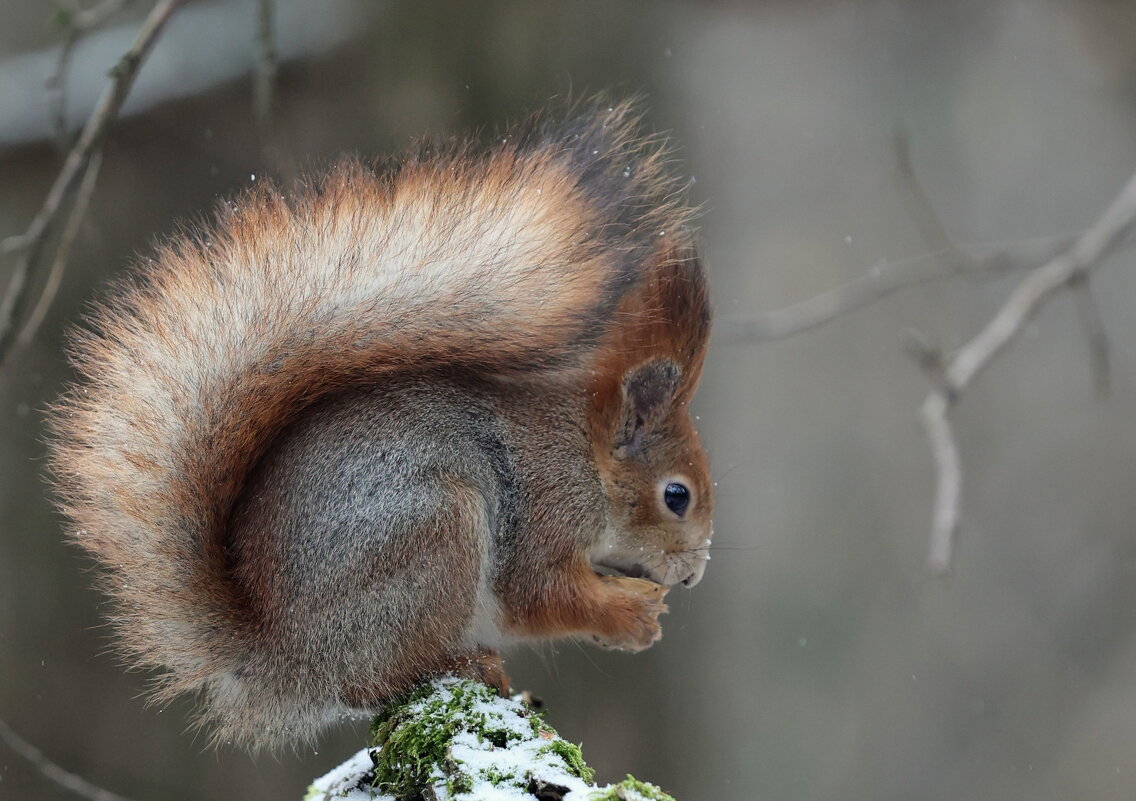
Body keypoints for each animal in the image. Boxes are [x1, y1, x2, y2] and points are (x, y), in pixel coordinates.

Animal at [53, 101, 713, 749]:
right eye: (676, 496)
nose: (692, 578)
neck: (586, 460)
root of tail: (285, 660)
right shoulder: (545, 512)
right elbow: (539, 595)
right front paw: (631, 617)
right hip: (431, 535)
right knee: (373, 680)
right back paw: (465, 664)